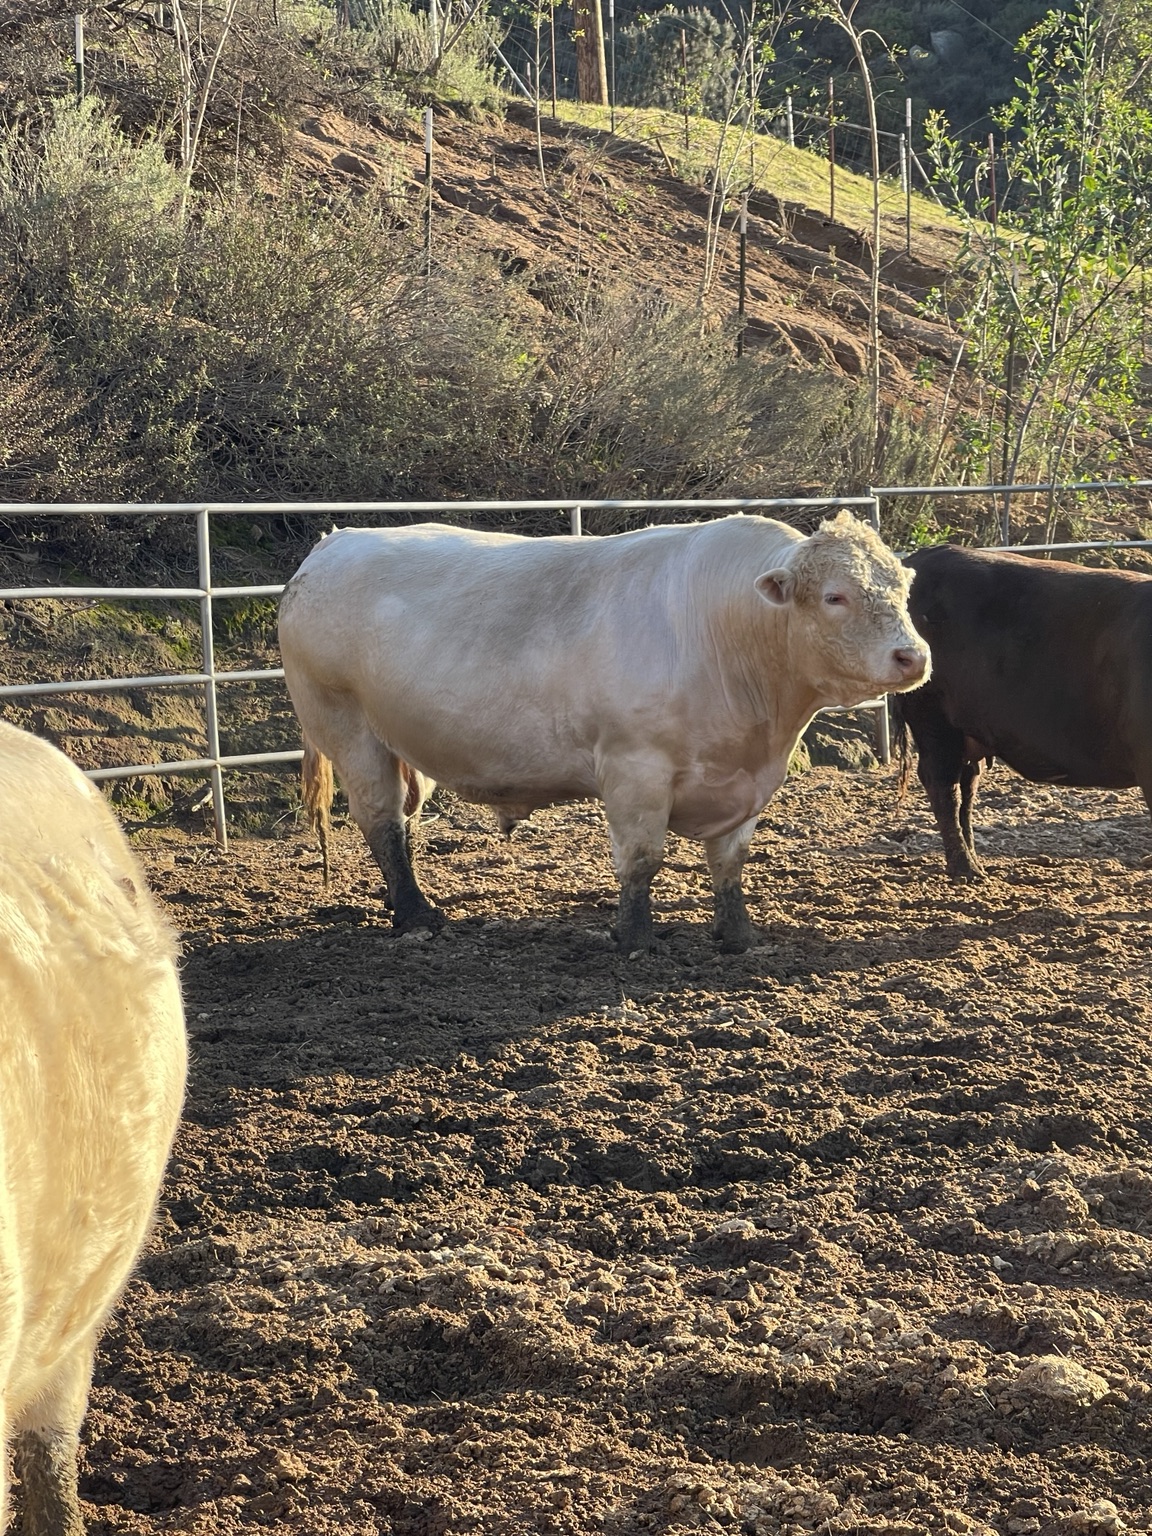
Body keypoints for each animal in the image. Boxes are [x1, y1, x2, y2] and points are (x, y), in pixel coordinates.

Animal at [278, 512, 929, 954]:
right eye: (835, 596)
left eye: (903, 589)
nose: (913, 656)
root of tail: (335, 542)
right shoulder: (634, 768)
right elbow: (642, 859)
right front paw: (635, 937)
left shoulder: (744, 779)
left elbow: (730, 863)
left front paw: (738, 935)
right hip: (347, 728)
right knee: (382, 821)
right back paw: (416, 916)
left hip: (400, 744)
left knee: (402, 823)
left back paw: (399, 901)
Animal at [893, 543, 1152, 879]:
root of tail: (926, 555)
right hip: (933, 718)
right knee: (943, 786)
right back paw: (965, 868)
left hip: (966, 731)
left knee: (966, 788)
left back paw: (974, 859)